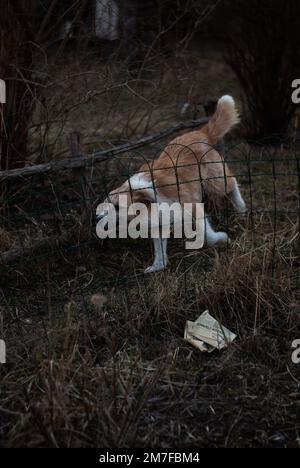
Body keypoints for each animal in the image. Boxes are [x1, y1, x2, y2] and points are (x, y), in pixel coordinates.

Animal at [96, 96, 246, 274]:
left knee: (233, 181)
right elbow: (159, 249)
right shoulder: (159, 224)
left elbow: (207, 235)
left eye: (118, 206)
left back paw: (241, 207)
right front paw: (158, 266)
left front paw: (221, 238)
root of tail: (201, 132)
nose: (97, 217)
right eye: (107, 204)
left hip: (215, 181)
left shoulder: (193, 207)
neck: (149, 195)